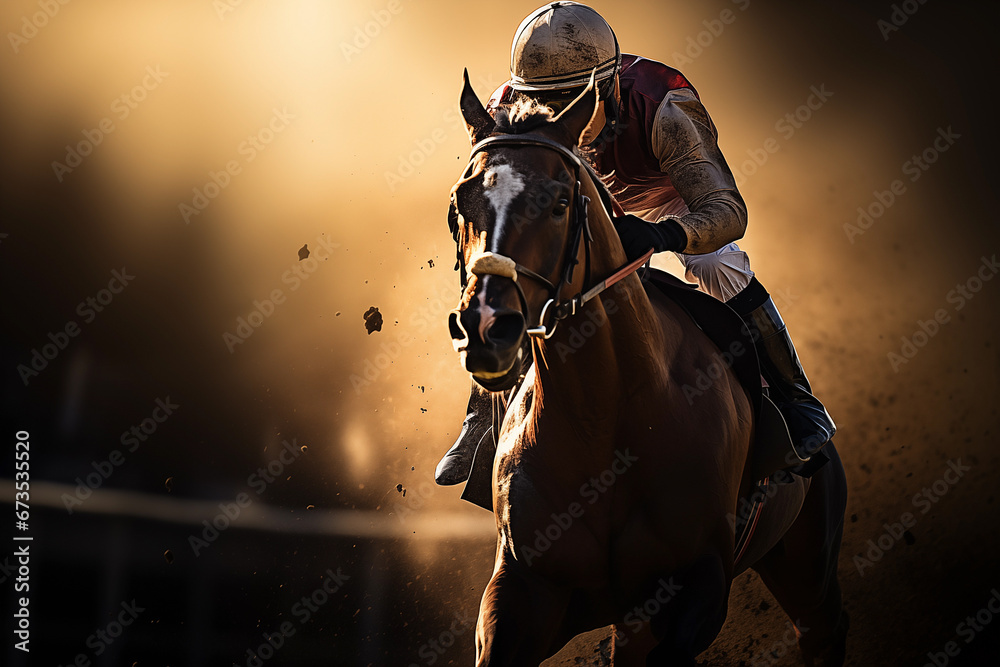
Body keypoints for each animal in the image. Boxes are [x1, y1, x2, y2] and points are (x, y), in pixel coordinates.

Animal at [445, 69, 849, 666]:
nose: (487, 327)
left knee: (820, 626)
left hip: (808, 555)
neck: (603, 415)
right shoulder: (522, 587)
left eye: (560, 201)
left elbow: (724, 204)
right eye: (460, 203)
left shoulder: (698, 584)